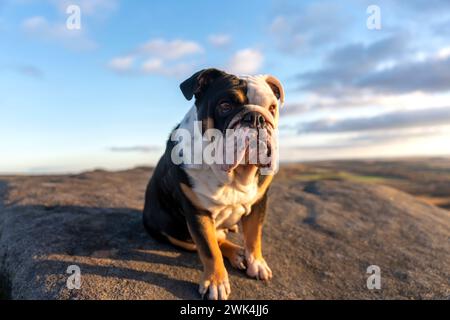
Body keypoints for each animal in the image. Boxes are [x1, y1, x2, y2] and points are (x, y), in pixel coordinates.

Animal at [143, 68, 284, 300]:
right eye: (225, 105)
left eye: (272, 108)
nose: (256, 118)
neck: (234, 175)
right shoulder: (197, 212)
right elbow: (209, 249)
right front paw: (215, 282)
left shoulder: (259, 202)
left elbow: (254, 235)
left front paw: (257, 263)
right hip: (172, 231)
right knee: (215, 239)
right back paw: (236, 253)